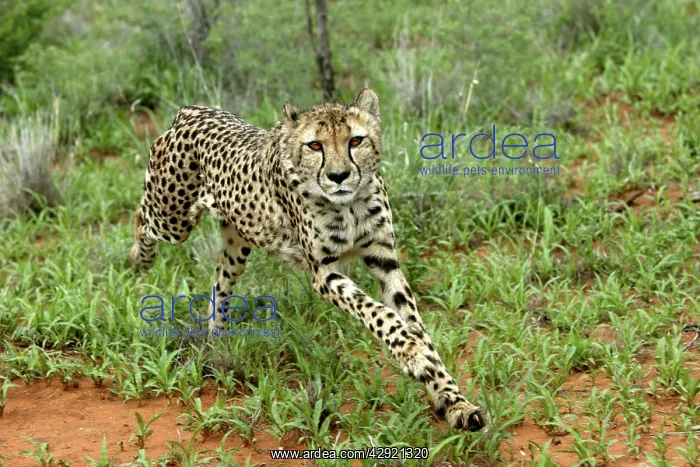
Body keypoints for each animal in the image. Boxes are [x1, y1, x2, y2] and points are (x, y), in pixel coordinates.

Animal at [129, 89, 486, 431]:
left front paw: (453, 400)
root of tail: (193, 110)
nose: (339, 175)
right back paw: (139, 259)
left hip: (238, 240)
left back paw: (217, 340)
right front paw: (413, 355)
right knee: (141, 216)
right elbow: (380, 314)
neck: (350, 204)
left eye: (355, 141)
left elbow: (415, 324)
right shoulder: (324, 272)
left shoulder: (385, 260)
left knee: (220, 282)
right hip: (173, 219)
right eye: (315, 145)